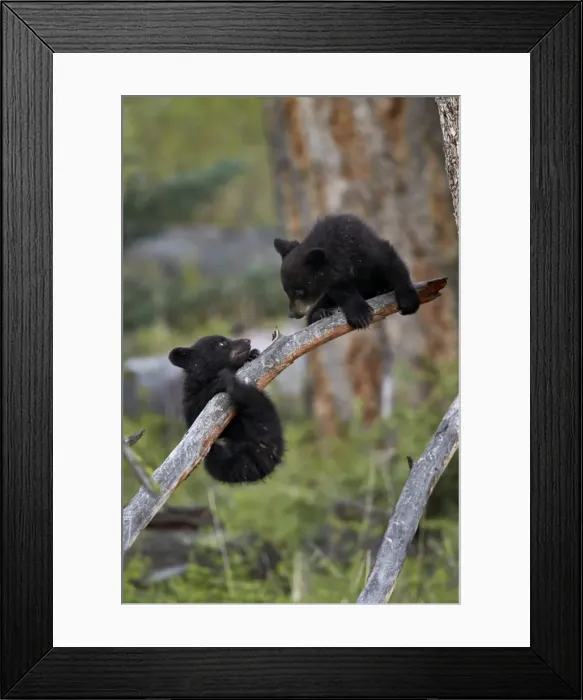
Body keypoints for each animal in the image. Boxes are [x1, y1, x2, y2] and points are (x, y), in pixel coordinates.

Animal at [168, 335, 284, 485]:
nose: (248, 341)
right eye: (222, 343)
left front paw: (253, 354)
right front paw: (219, 381)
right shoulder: (191, 401)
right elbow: (198, 409)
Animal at [273, 213, 420, 330]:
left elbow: (392, 264)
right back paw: (321, 313)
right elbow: (343, 291)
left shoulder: (367, 249)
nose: (293, 314)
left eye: (299, 292)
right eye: (286, 291)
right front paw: (360, 315)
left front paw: (408, 302)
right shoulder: (332, 279)